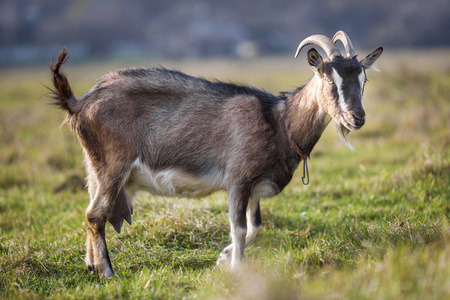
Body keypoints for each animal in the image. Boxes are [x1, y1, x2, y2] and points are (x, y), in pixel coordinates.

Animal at [50, 31, 384, 278]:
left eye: (364, 80)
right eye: (329, 79)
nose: (357, 118)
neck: (279, 122)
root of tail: (79, 103)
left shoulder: (254, 188)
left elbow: (255, 226)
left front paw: (223, 258)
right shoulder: (238, 178)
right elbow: (239, 227)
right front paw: (236, 268)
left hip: (94, 166)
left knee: (91, 211)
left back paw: (91, 264)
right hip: (113, 165)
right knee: (96, 214)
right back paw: (108, 272)